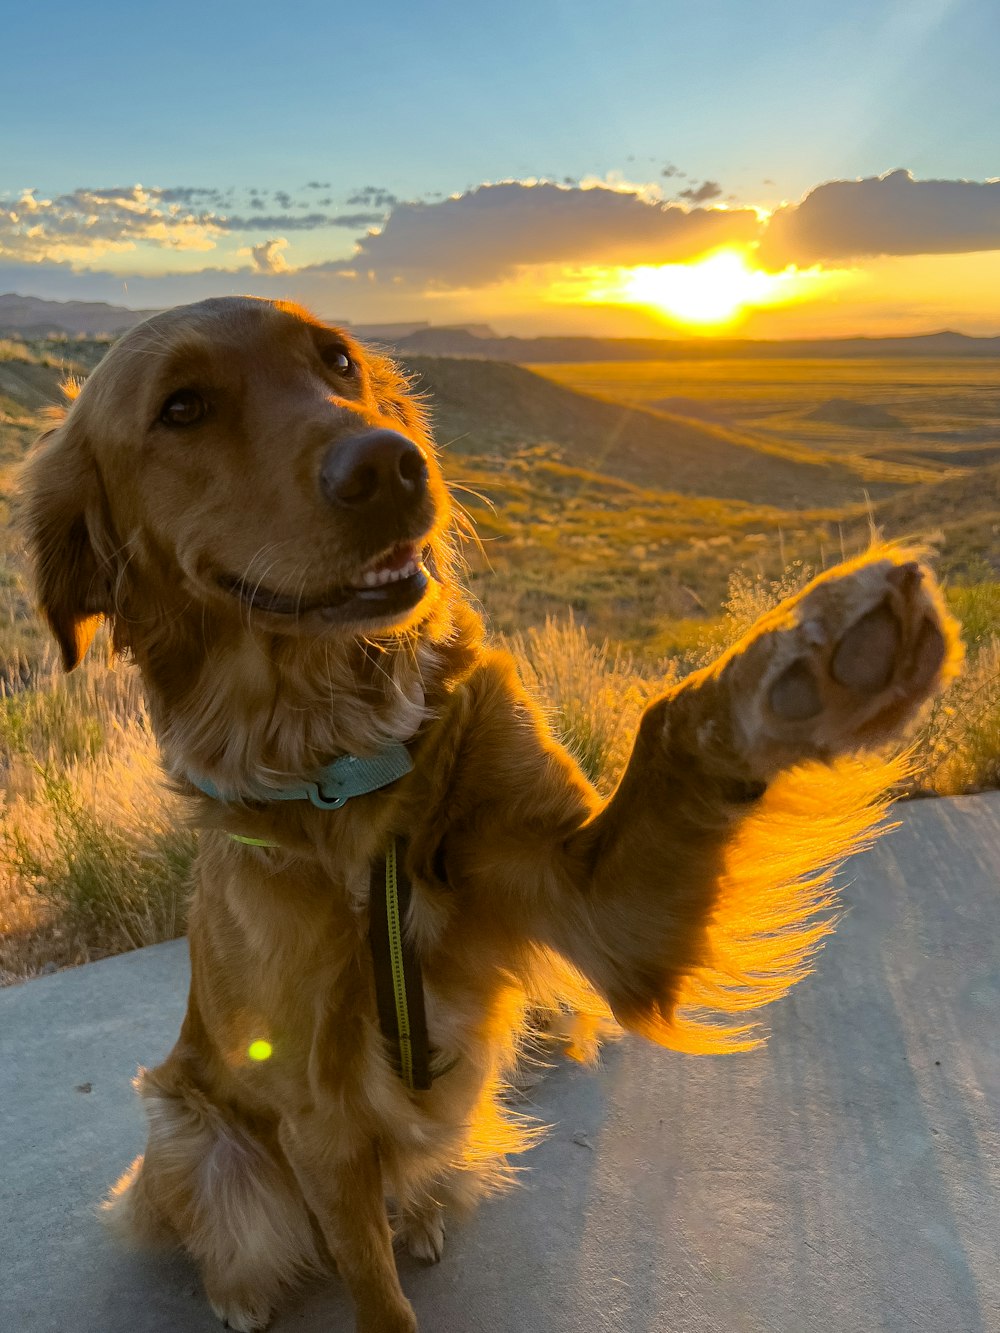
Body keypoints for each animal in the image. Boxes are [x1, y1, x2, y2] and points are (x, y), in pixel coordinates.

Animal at [25, 299, 965, 1333]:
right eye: (182, 408)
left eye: (337, 360)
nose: (392, 467)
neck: (343, 761)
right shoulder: (318, 1115)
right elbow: (372, 1287)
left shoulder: (599, 900)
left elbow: (669, 723)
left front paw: (806, 663)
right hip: (184, 1126)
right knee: (227, 1217)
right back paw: (241, 1290)